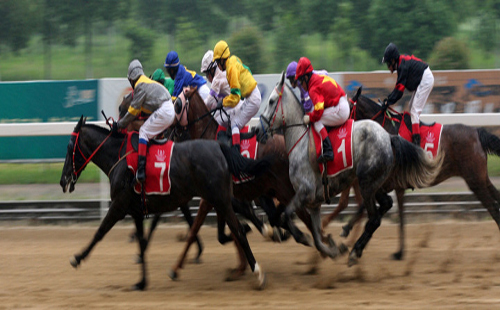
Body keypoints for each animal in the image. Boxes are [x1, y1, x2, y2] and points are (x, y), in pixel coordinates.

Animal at [258, 72, 442, 264]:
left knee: (374, 218)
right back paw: (357, 247)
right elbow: (316, 236)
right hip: (376, 183)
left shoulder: (304, 192)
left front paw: (304, 237)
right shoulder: (314, 202)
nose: (257, 130)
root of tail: (389, 137)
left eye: (271, 101)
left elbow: (288, 216)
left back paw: (356, 250)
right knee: (384, 206)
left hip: (366, 183)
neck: (300, 141)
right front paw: (332, 249)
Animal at [326, 87, 500, 260]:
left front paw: (348, 231)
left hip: (475, 180)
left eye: (346, 109)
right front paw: (398, 251)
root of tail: (477, 132)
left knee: (493, 207)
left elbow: (374, 207)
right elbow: (398, 214)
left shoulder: (386, 182)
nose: (330, 131)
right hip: (482, 177)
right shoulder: (394, 184)